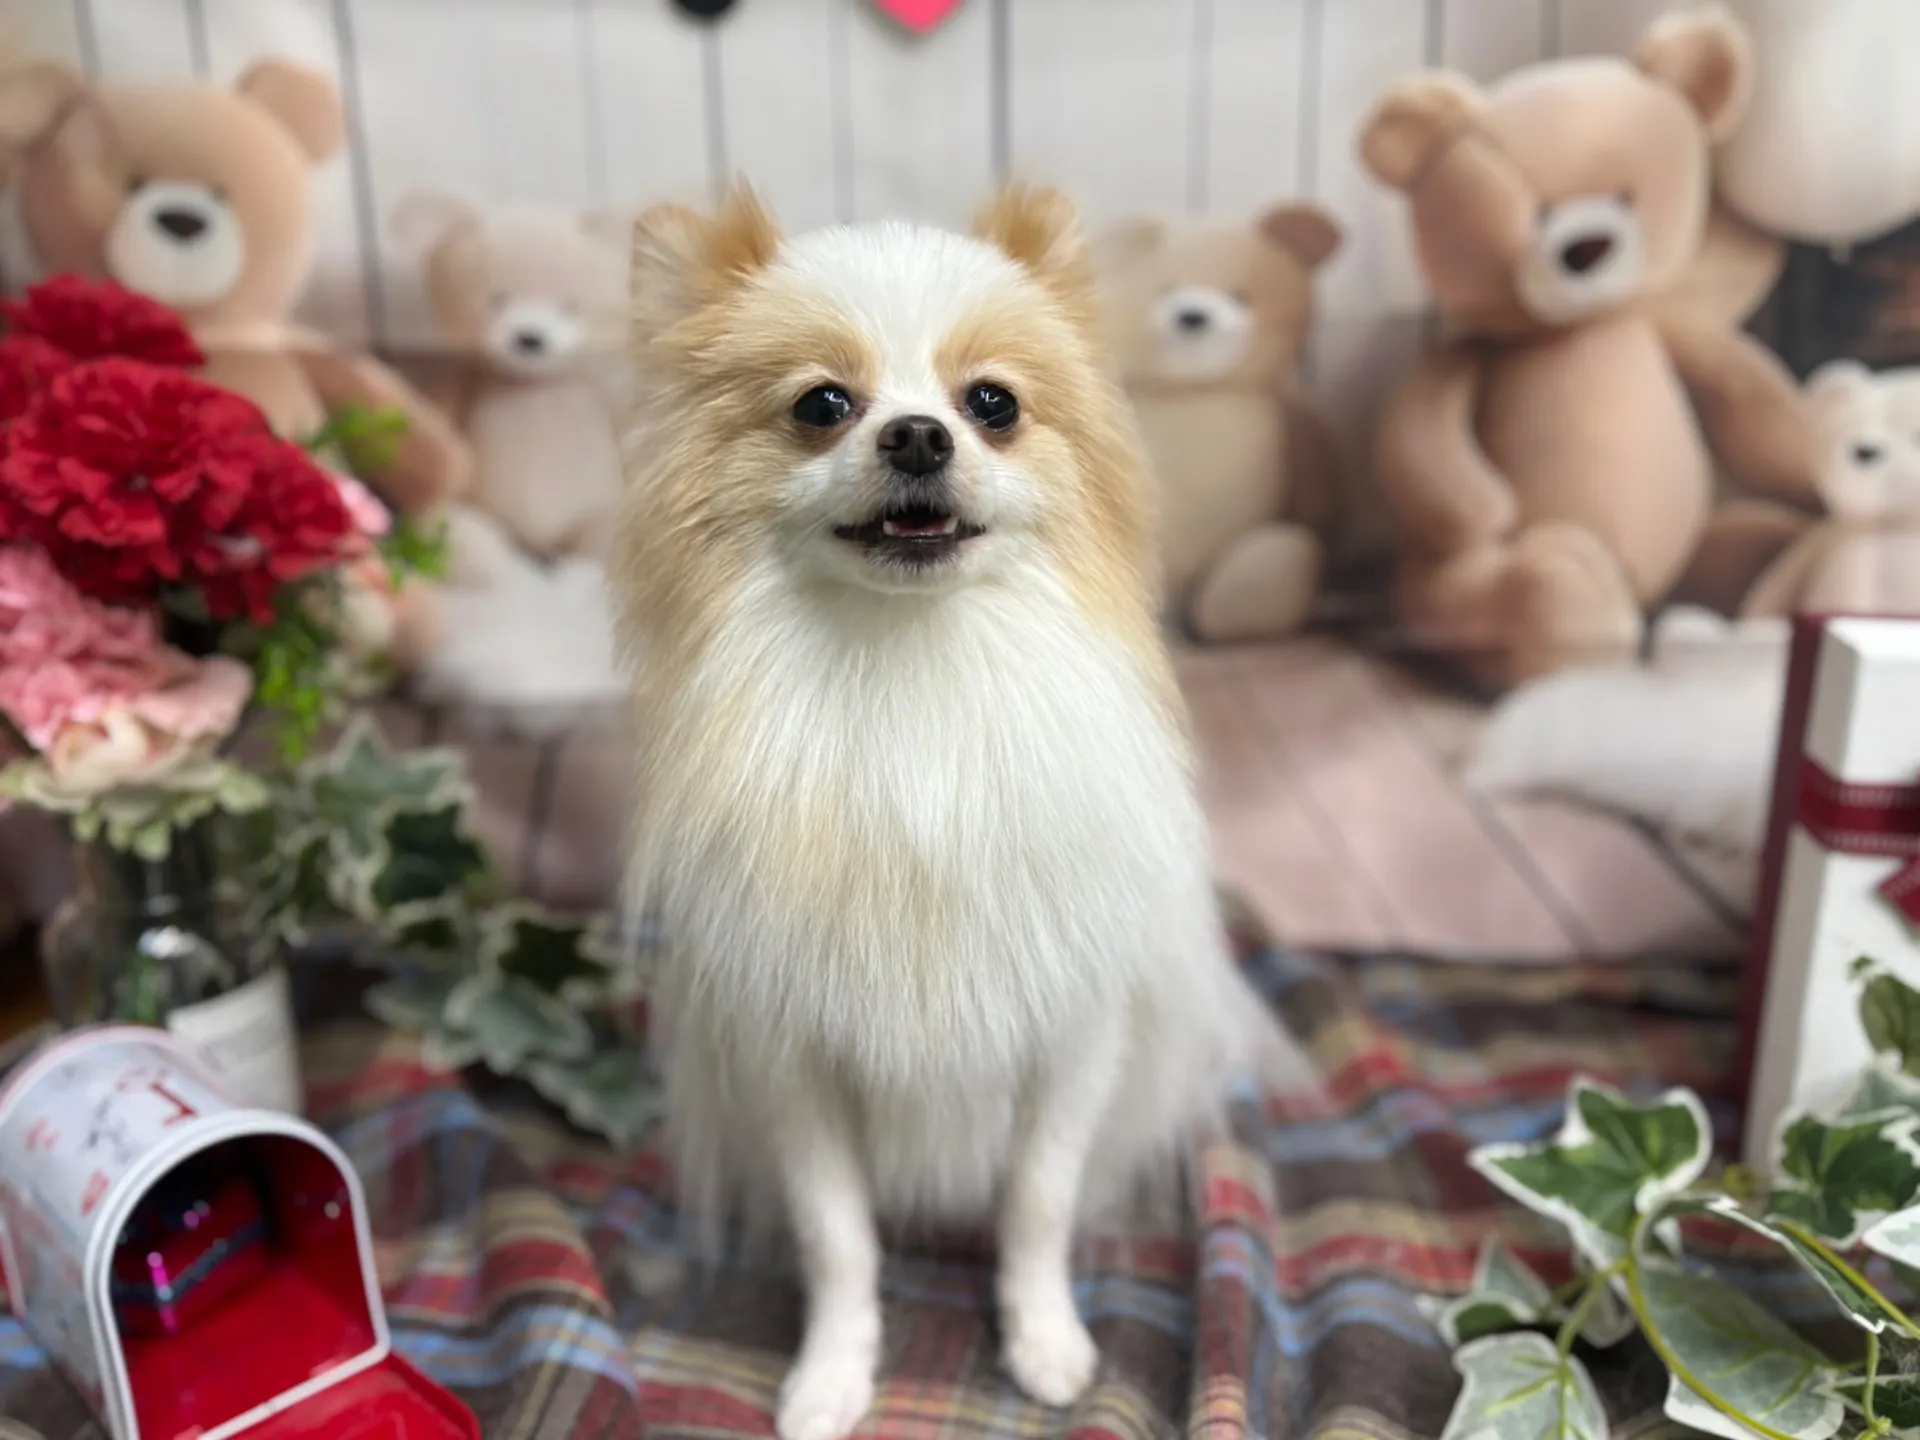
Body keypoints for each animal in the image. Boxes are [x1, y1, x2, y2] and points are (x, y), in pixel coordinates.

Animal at [610, 181, 1314, 1440]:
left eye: (993, 405)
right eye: (822, 405)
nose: (918, 435)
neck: (915, 670)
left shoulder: (1070, 1038)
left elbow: (1036, 1205)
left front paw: (1045, 1344)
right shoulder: (797, 1064)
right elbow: (837, 1239)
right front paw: (832, 1377)